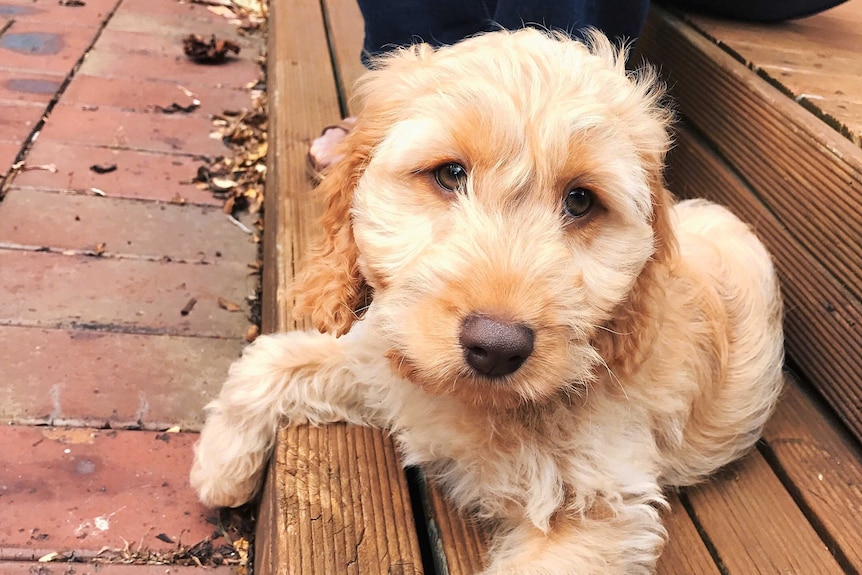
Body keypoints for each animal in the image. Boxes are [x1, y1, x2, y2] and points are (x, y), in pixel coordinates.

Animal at [192, 28, 788, 575]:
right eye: (450, 173)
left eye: (581, 201)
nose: (497, 347)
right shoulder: (386, 360)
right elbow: (269, 361)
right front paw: (219, 469)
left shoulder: (596, 508)